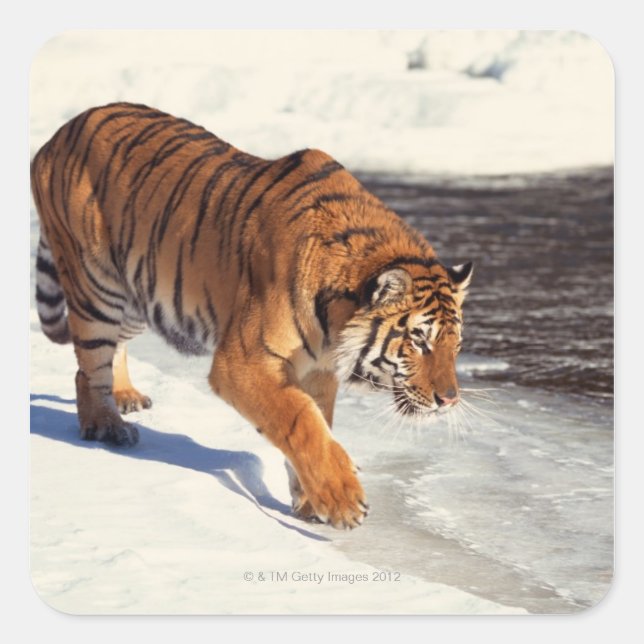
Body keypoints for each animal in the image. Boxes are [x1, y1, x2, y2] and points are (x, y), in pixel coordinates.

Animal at [30, 102, 473, 529]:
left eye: (456, 345)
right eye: (419, 340)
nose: (449, 399)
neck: (334, 323)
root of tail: (57, 135)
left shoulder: (317, 370)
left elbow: (319, 422)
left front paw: (310, 502)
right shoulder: (242, 361)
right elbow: (300, 420)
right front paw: (342, 500)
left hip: (139, 290)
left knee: (114, 348)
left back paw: (125, 396)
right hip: (96, 286)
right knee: (87, 367)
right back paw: (105, 425)